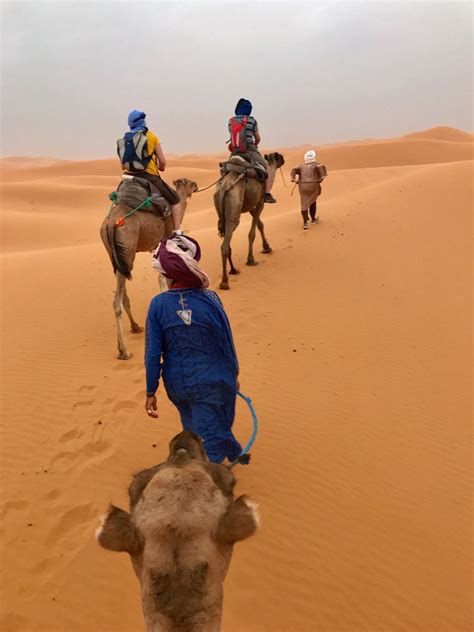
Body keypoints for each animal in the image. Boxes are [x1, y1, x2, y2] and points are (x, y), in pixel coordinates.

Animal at [100, 178, 196, 358]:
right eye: (189, 182)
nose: (196, 184)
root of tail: (111, 225)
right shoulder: (166, 239)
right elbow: (165, 276)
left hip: (115, 257)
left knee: (122, 293)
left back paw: (135, 327)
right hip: (127, 249)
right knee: (116, 301)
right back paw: (124, 351)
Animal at [215, 152, 286, 290]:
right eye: (277, 156)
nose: (283, 158)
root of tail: (224, 187)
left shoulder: (250, 206)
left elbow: (259, 224)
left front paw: (267, 247)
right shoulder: (260, 202)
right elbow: (253, 232)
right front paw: (251, 259)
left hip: (224, 212)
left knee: (227, 239)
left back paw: (234, 270)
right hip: (234, 207)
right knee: (224, 245)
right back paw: (224, 282)